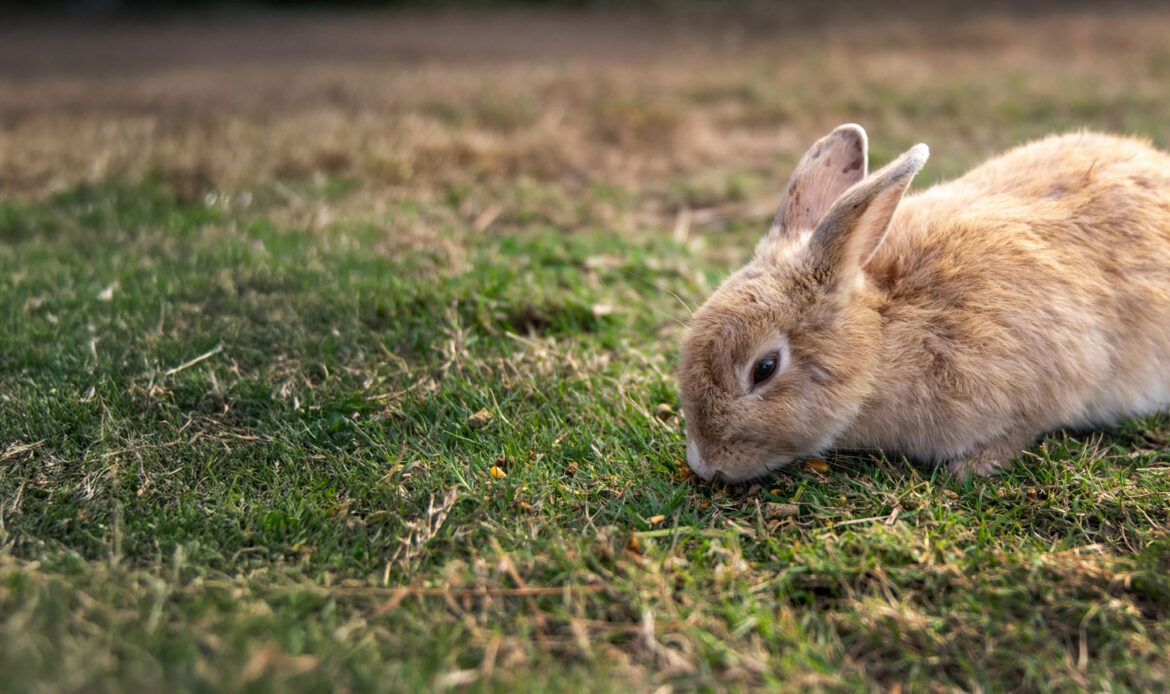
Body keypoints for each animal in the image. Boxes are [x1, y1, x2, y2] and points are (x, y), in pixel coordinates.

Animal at [677, 123, 1170, 482]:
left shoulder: (1053, 377)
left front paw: (969, 468)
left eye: (764, 368)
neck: (882, 338)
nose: (705, 465)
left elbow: (1023, 429)